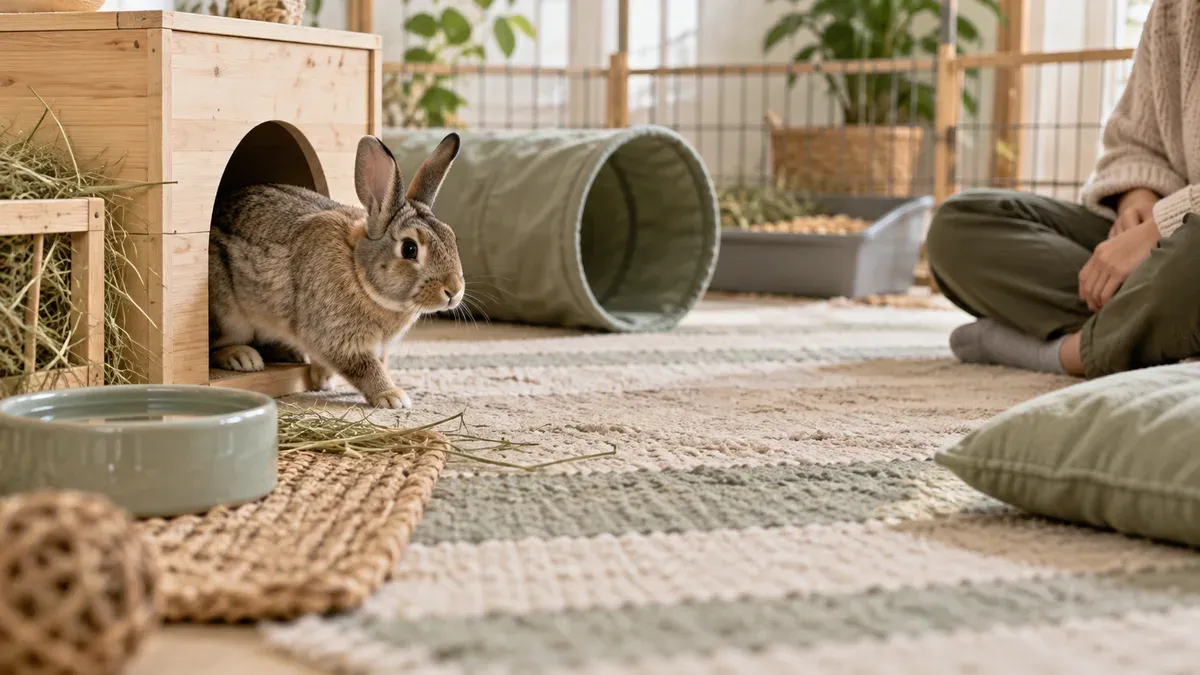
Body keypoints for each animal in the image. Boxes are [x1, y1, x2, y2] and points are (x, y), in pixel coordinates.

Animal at [208, 133, 464, 409]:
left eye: (452, 237)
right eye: (409, 249)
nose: (454, 291)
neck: (358, 271)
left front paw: (323, 377)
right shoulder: (337, 336)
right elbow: (365, 367)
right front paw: (393, 397)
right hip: (229, 317)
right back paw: (242, 357)